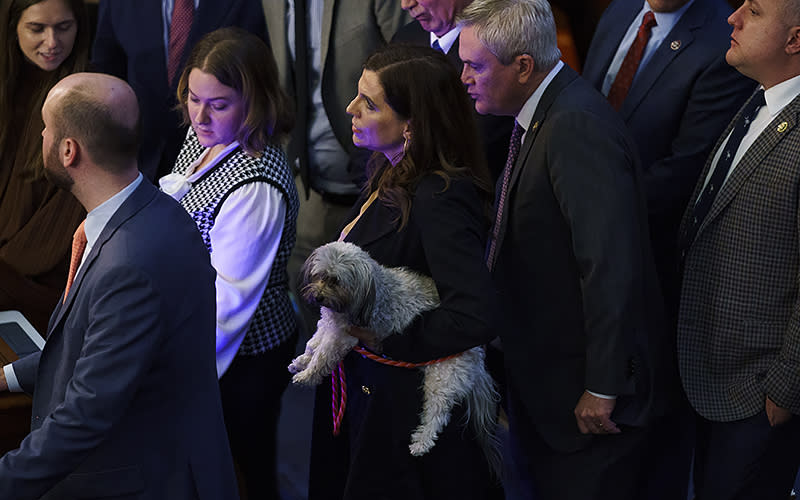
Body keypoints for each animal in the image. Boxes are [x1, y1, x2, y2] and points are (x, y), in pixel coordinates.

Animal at [288, 240, 500, 458]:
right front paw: (301, 361)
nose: (318, 297)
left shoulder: (342, 336)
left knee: (438, 415)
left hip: (442, 378)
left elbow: (322, 357)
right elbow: (313, 344)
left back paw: (421, 443)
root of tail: (478, 355)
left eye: (336, 281)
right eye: (319, 275)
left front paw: (307, 376)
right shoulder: (329, 325)